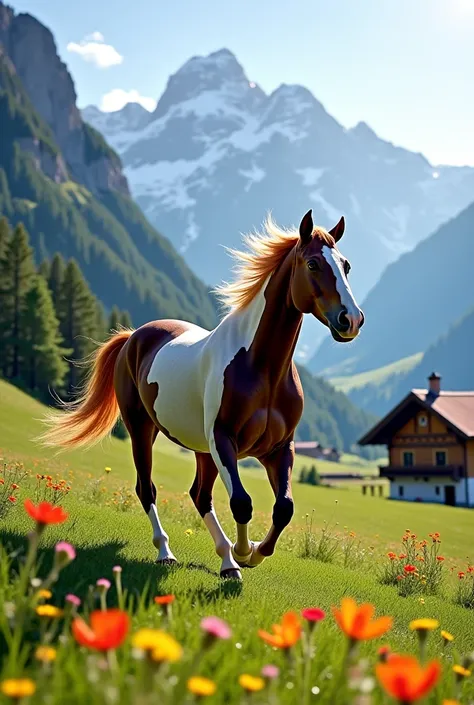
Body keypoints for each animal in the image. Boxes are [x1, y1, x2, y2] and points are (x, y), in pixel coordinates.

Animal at [40, 209, 364, 576]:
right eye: (312, 264)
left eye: (346, 265)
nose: (351, 320)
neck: (261, 367)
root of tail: (133, 336)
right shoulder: (223, 439)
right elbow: (241, 503)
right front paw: (243, 551)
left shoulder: (279, 448)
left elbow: (284, 508)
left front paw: (252, 553)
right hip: (142, 429)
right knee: (147, 488)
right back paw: (168, 552)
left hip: (201, 448)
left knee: (199, 495)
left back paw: (226, 563)